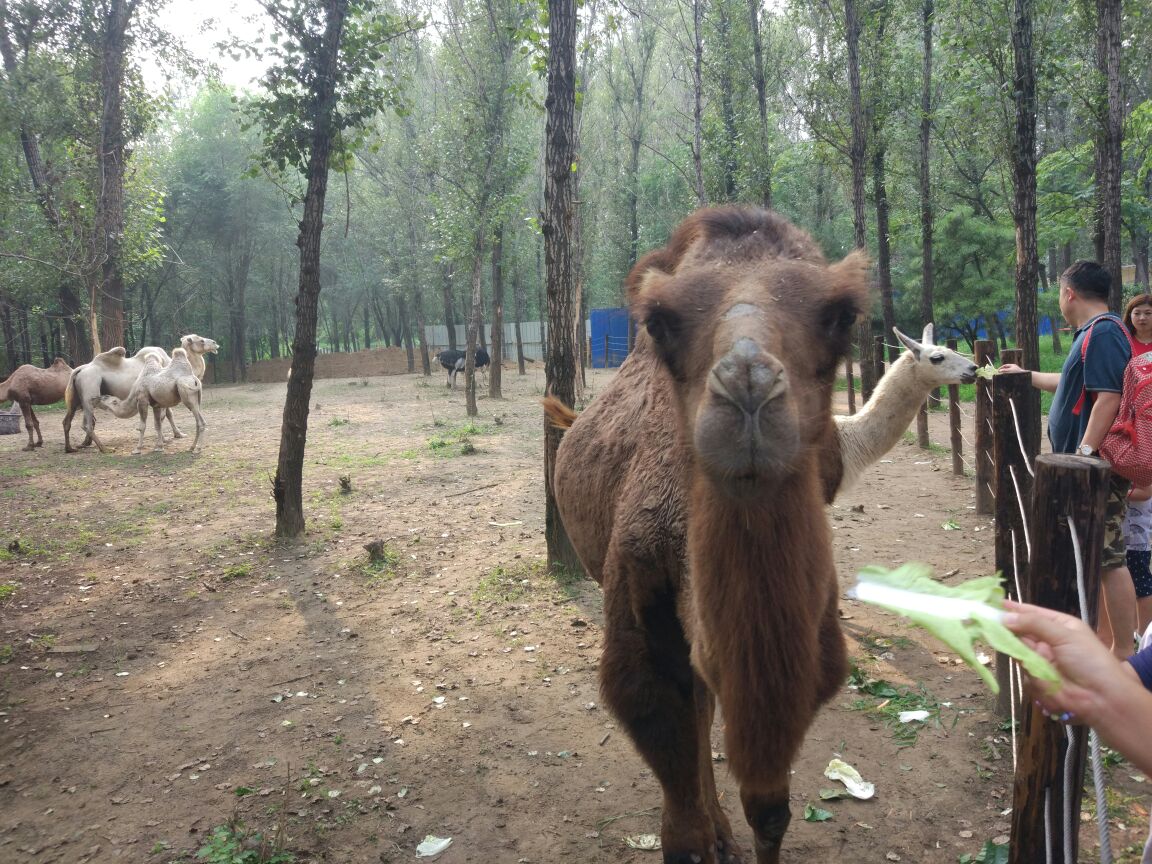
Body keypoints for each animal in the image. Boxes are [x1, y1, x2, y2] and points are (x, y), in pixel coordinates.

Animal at [63, 334, 217, 456]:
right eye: (201, 340)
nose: (215, 343)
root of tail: (79, 369)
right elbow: (166, 415)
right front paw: (173, 436)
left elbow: (163, 417)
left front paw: (168, 438)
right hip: (90, 389)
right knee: (87, 423)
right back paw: (104, 449)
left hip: (77, 398)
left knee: (69, 421)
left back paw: (74, 447)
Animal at [543, 208, 866, 864]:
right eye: (660, 322)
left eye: (843, 315)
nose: (749, 385)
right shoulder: (638, 601)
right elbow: (667, 744)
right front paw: (706, 837)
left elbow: (763, 796)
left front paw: (737, 830)